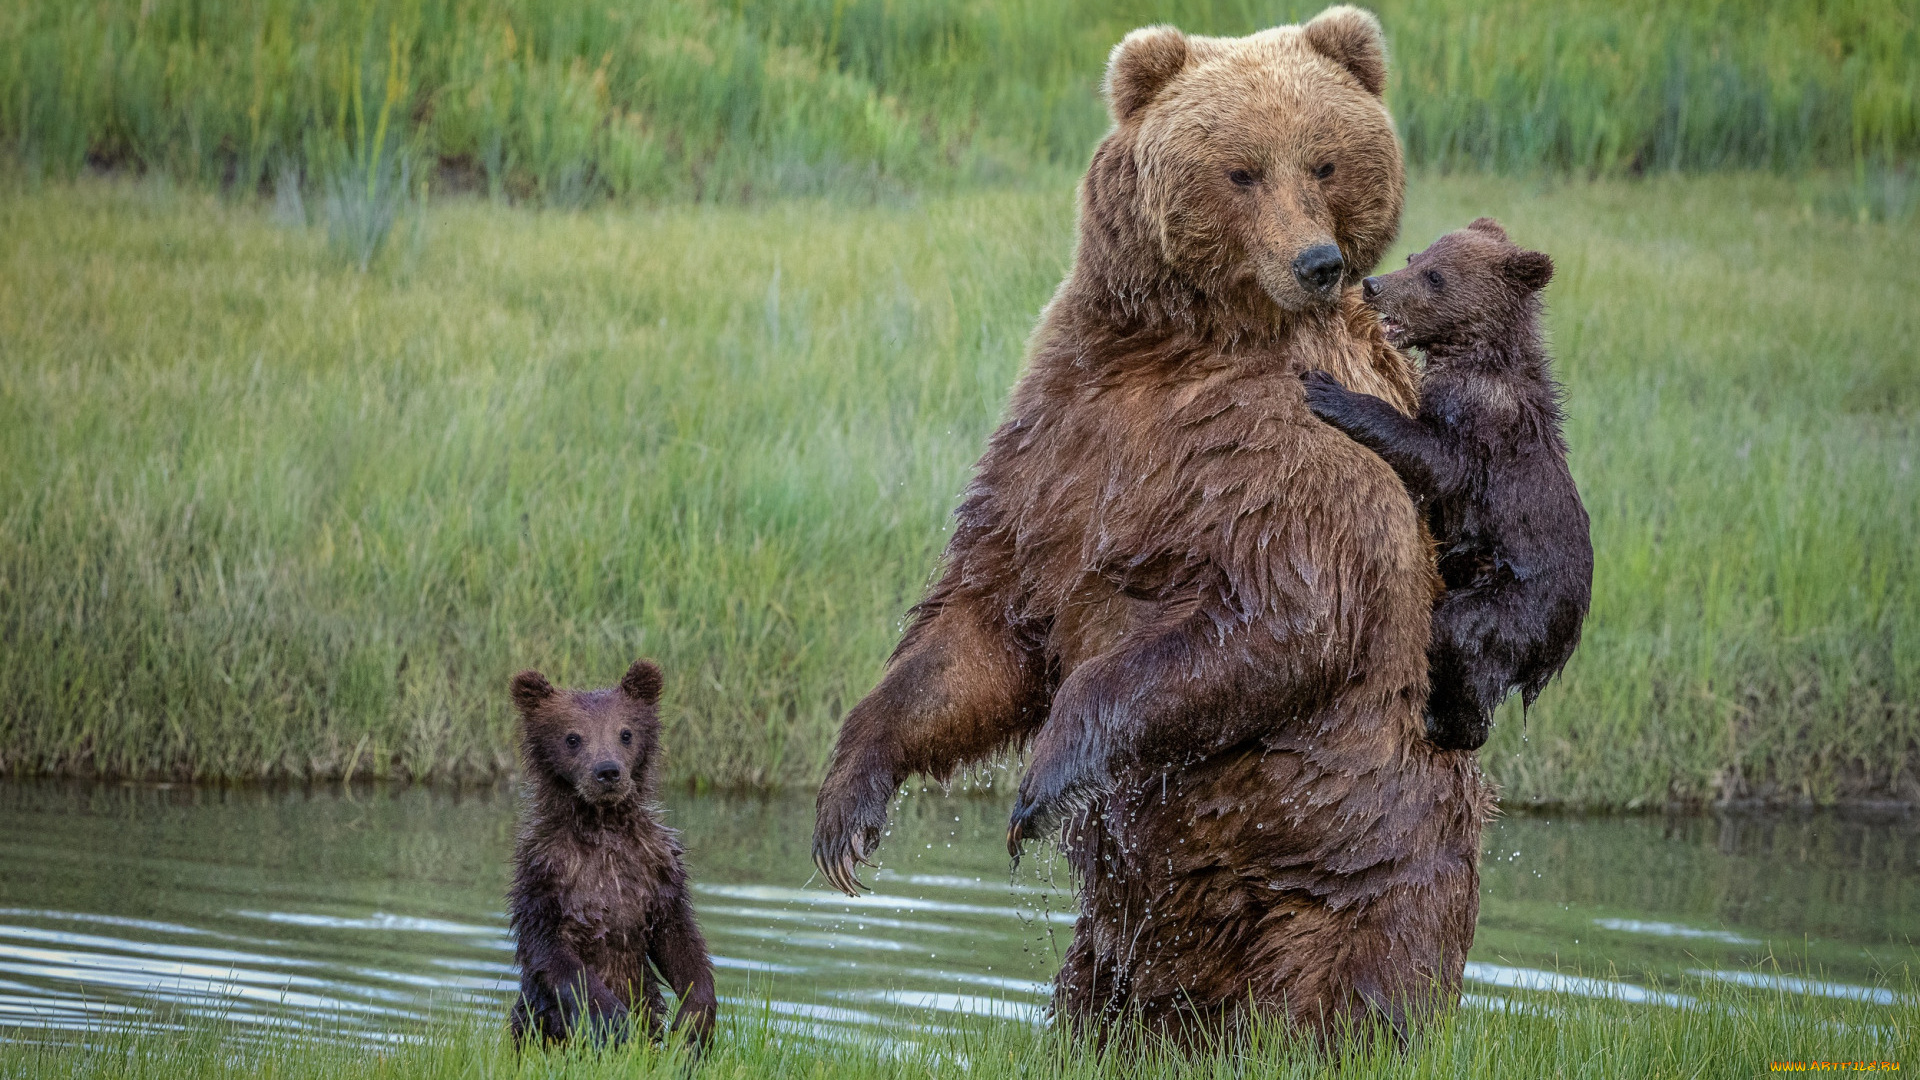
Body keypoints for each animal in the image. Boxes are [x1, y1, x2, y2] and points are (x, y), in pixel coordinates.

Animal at [506, 661, 718, 1045]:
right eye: (572, 737)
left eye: (626, 733)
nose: (607, 771)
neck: (603, 827)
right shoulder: (545, 874)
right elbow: (551, 952)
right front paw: (614, 1019)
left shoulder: (657, 870)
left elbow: (679, 942)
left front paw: (694, 1021)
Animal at [817, 2, 1489, 1045]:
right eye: (1242, 168)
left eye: (1325, 162)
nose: (1317, 262)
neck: (1180, 345)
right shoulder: (1064, 436)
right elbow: (984, 624)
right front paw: (848, 808)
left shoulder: (1298, 448)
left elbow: (1278, 619)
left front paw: (1042, 778)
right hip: (1120, 943)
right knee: (1101, 987)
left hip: (1352, 866)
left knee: (1346, 977)